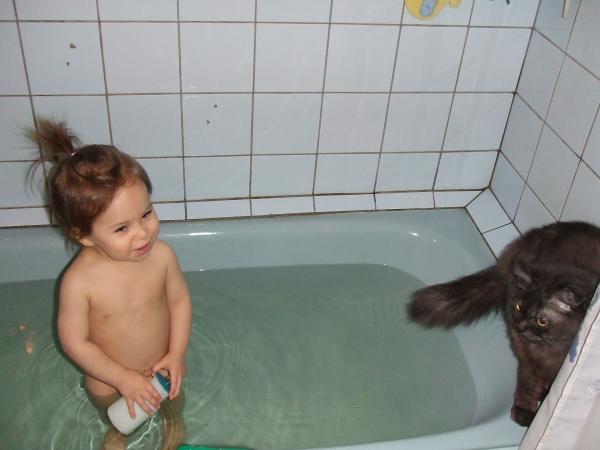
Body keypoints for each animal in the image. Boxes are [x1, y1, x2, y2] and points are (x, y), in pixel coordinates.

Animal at [407, 221, 600, 427]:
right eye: (518, 307)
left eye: (541, 321)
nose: (520, 326)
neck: (549, 347)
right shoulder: (526, 356)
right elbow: (527, 383)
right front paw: (524, 409)